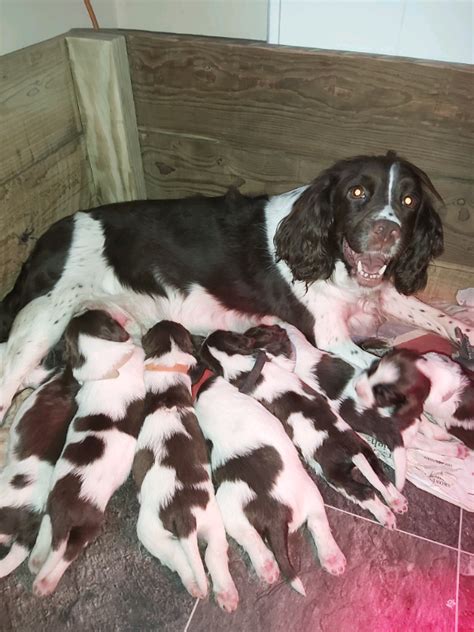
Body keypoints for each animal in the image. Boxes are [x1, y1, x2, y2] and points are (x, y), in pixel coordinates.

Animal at [30, 312, 145, 596]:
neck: (107, 365)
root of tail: (67, 510)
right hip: (89, 527)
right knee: (68, 552)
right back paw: (47, 582)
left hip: (52, 511)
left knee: (50, 535)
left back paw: (38, 565)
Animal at [132, 320, 237, 612]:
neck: (168, 393)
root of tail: (185, 516)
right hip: (212, 524)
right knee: (212, 556)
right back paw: (226, 594)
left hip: (149, 531)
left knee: (178, 558)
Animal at [192, 344, 344, 596]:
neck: (202, 388)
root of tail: (275, 515)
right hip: (306, 493)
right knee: (316, 523)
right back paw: (328, 558)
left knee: (254, 537)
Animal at [200, 326, 408, 528]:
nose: (279, 328)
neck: (237, 363)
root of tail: (351, 450)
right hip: (366, 450)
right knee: (382, 479)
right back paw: (397, 500)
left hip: (335, 476)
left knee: (366, 492)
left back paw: (385, 515)